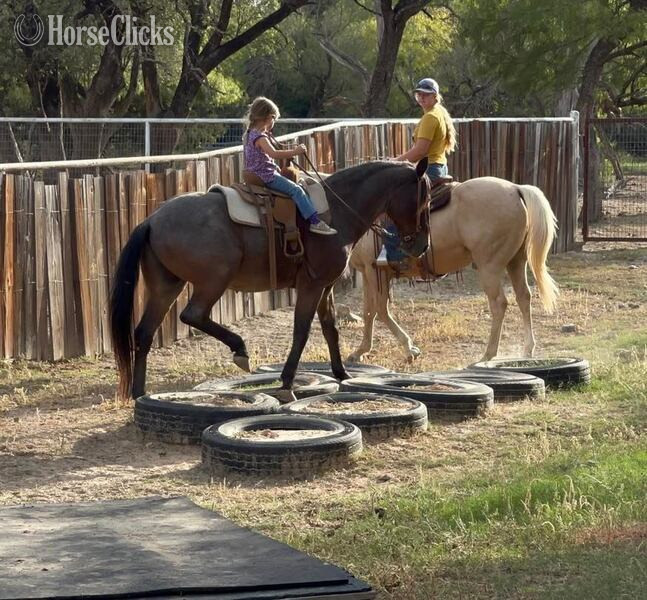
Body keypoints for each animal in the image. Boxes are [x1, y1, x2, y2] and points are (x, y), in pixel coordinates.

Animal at [109, 159, 431, 400]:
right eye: (424, 197)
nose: (422, 245)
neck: (337, 210)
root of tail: (151, 220)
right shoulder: (312, 285)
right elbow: (301, 331)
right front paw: (287, 382)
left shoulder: (326, 286)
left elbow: (331, 330)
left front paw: (342, 374)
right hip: (213, 280)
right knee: (193, 315)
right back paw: (240, 350)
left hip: (166, 286)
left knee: (144, 333)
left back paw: (139, 393)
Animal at [348, 176, 559, 363]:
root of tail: (516, 188)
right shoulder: (368, 273)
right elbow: (369, 311)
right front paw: (360, 351)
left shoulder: (375, 271)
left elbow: (380, 310)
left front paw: (409, 349)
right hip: (516, 261)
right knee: (523, 296)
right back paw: (527, 349)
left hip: (489, 266)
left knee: (499, 303)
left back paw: (488, 354)